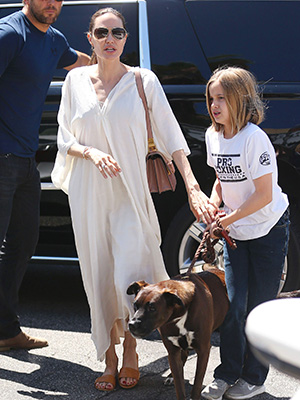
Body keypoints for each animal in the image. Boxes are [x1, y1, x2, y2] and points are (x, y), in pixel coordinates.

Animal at [127, 266, 230, 400]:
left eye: (152, 308)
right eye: (135, 305)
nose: (132, 324)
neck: (180, 312)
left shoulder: (203, 349)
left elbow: (197, 383)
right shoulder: (172, 351)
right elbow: (179, 384)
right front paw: (174, 378)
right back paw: (170, 376)